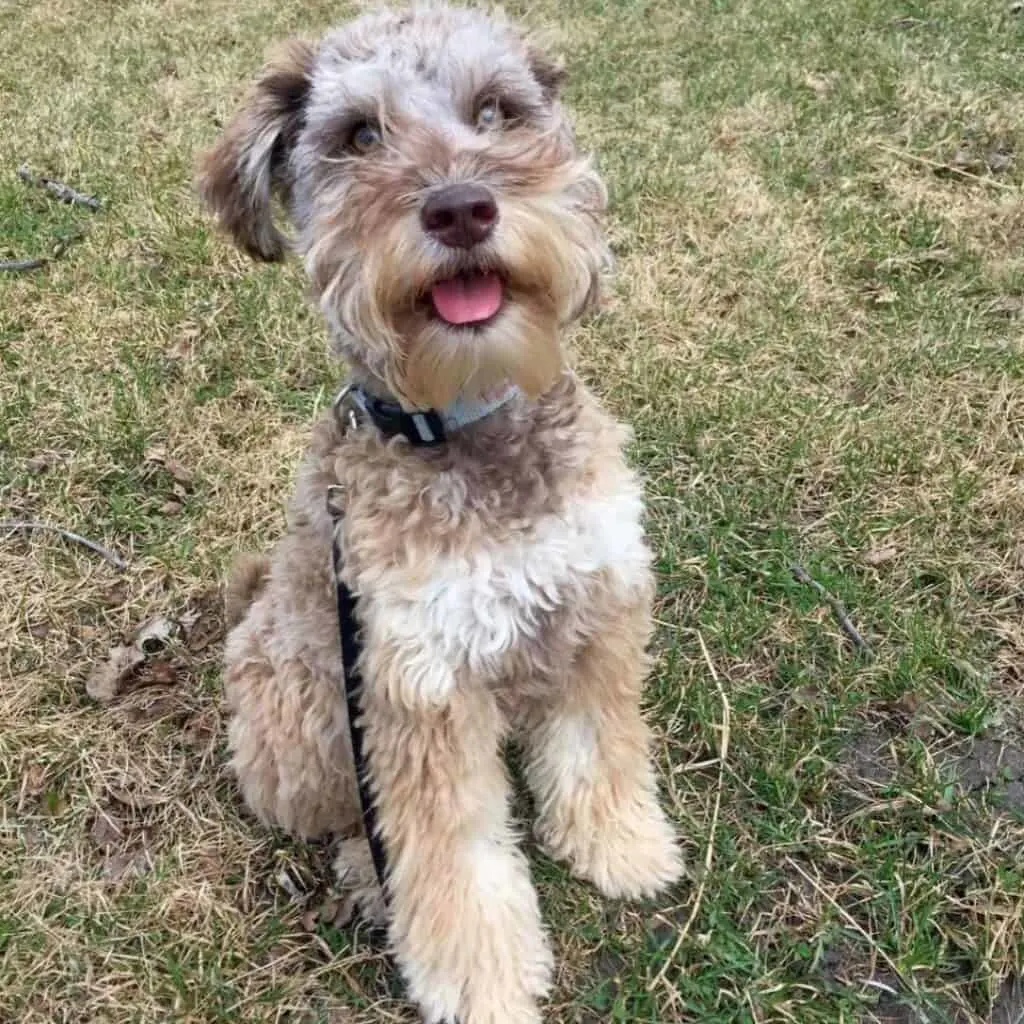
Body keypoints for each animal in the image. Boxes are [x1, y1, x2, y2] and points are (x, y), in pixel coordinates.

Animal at [196, 4, 684, 1019]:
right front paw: (484, 983)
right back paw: (361, 874)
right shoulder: (419, 688)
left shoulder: (599, 608)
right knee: (353, 822)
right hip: (301, 712)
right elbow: (453, 861)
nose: (462, 209)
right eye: (359, 136)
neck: (471, 419)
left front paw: (623, 847)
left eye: (495, 110)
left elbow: (601, 748)